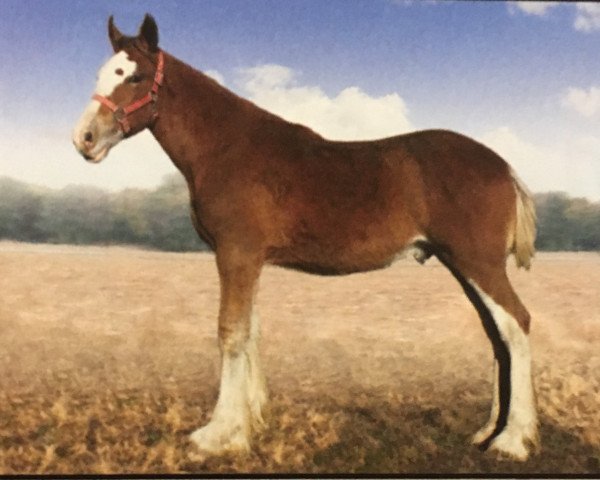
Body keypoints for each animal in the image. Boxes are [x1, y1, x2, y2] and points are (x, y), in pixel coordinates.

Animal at [71, 14, 540, 462]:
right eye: (100, 74)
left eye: (133, 76)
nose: (84, 139)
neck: (227, 148)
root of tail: (501, 166)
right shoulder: (248, 259)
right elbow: (251, 330)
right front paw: (252, 421)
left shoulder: (236, 254)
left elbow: (231, 332)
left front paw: (218, 434)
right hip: (461, 264)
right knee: (497, 333)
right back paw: (488, 431)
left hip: (478, 263)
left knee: (515, 325)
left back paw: (512, 440)